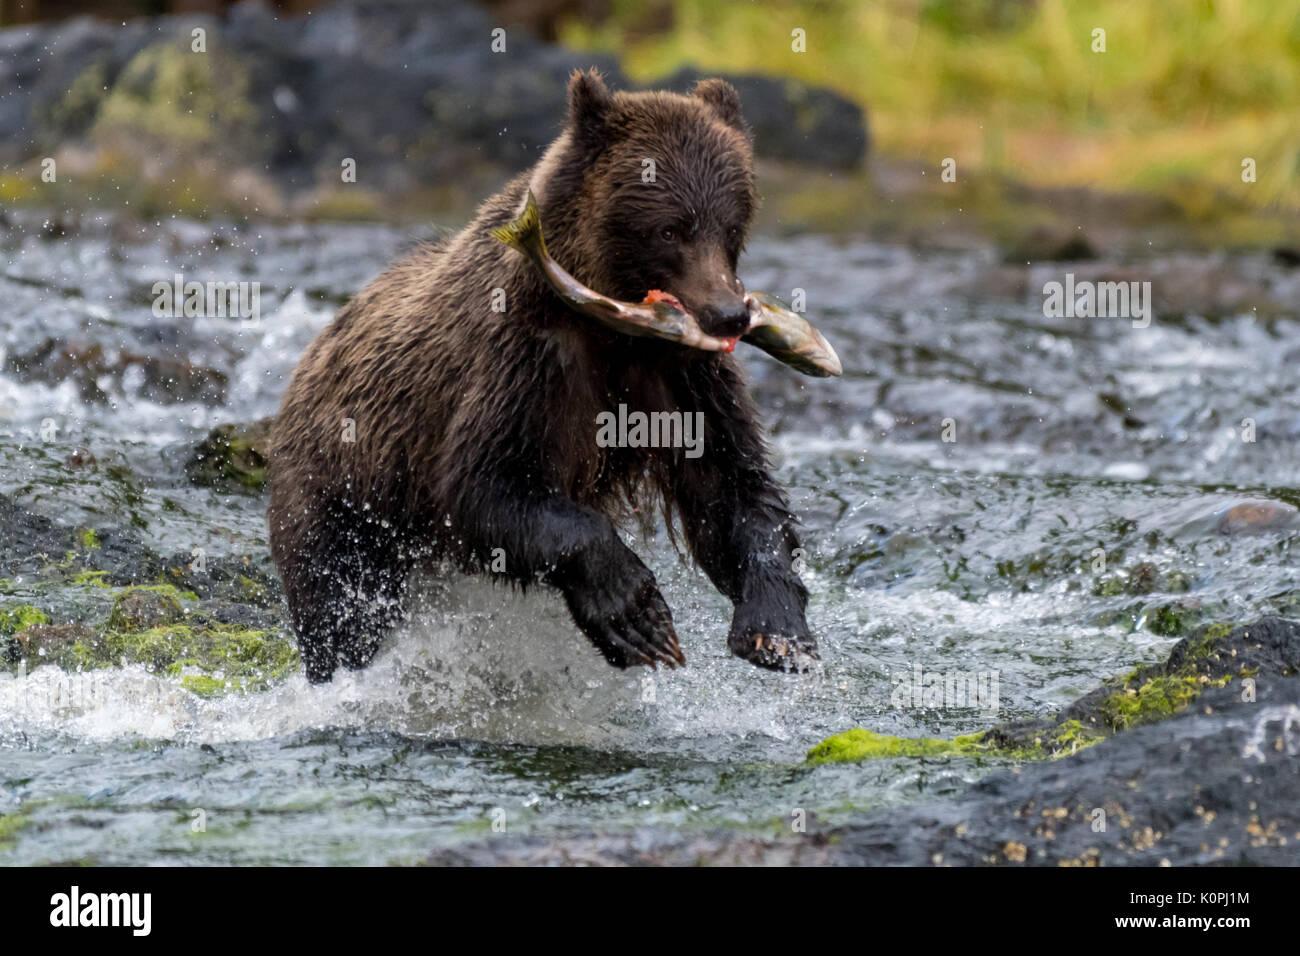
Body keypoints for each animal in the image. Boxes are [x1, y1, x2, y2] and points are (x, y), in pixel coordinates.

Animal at [269, 70, 816, 686]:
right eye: (670, 229)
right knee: (339, 603)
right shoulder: (524, 361)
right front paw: (637, 613)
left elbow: (731, 488)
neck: (615, 325)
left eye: (732, 224)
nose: (727, 315)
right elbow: (488, 486)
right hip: (339, 492)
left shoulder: (684, 377)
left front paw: (777, 628)